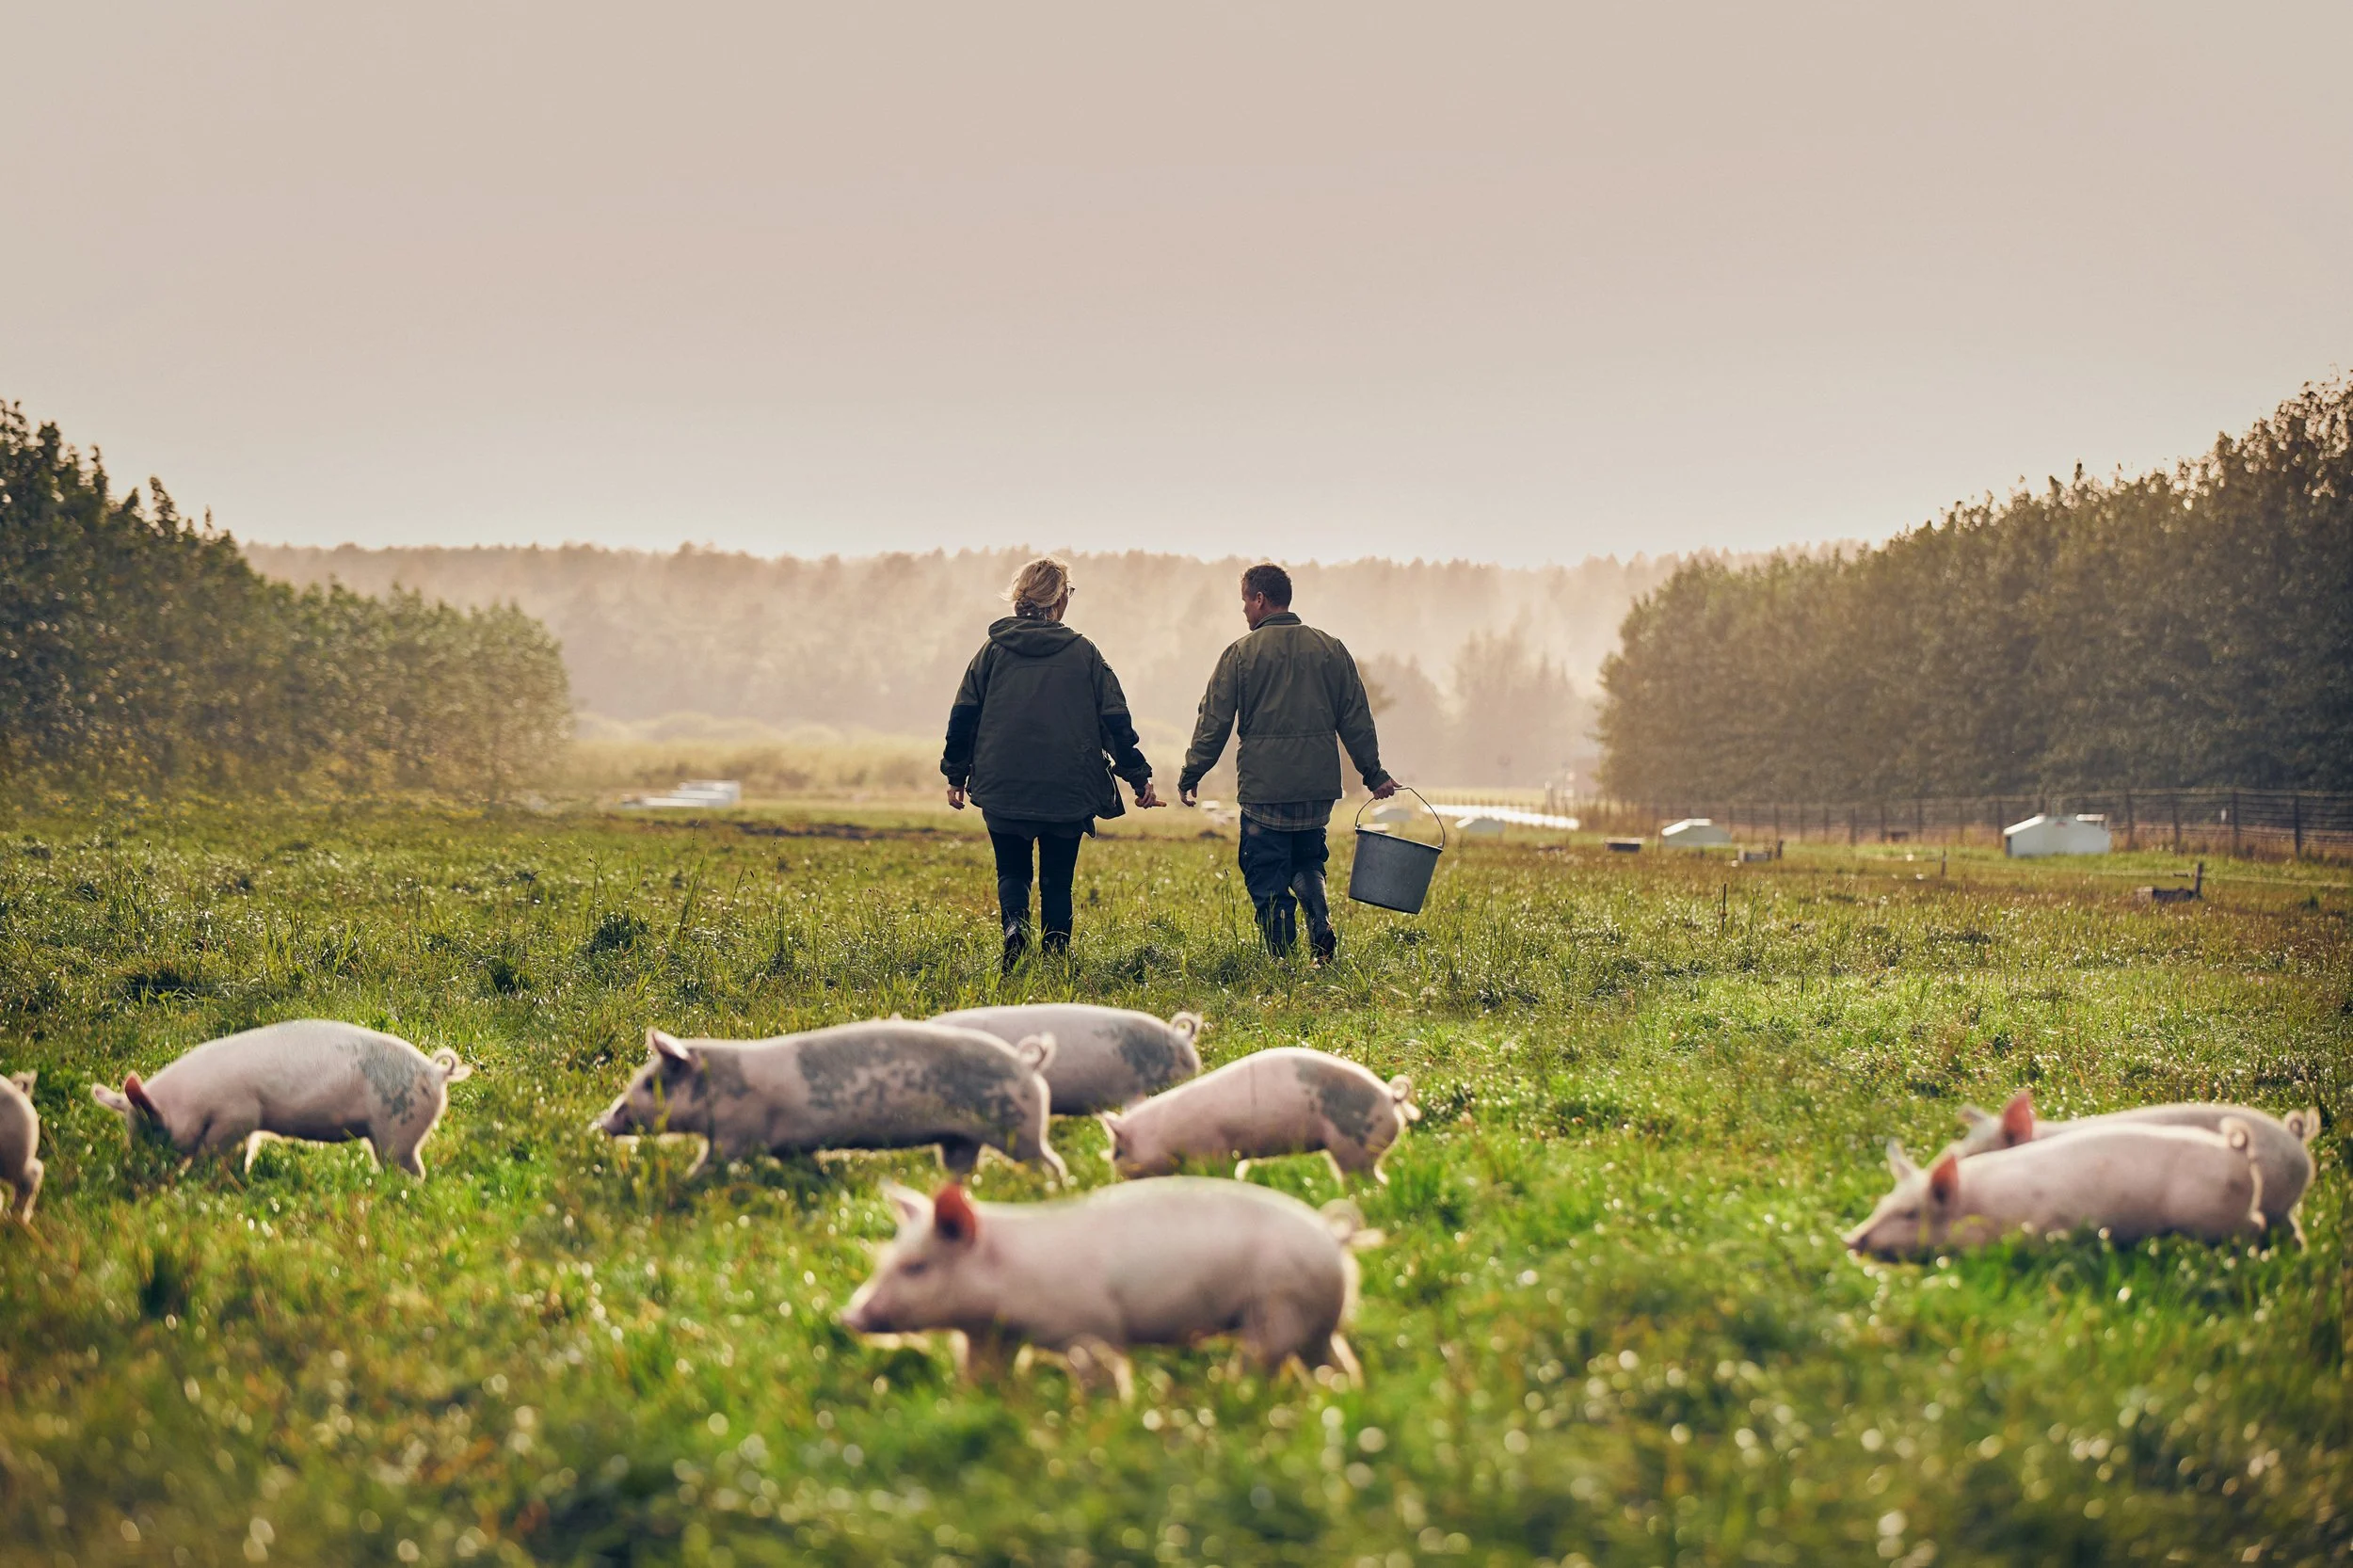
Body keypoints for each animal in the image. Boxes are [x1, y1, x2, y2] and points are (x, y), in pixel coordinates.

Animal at [89, 1019, 473, 1177]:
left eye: (152, 1128)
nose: (136, 1171)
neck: (191, 1102)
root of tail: (435, 1072)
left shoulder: (238, 1114)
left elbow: (210, 1151)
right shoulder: (244, 1125)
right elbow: (240, 1155)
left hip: (399, 1127)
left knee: (413, 1170)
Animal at [592, 1021, 1065, 1178]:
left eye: (649, 1083)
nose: (602, 1121)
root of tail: (1028, 1063)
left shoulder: (735, 1133)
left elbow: (711, 1162)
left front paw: (686, 1181)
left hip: (1019, 1129)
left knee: (1050, 1161)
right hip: (959, 1141)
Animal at [840, 1176, 1377, 1391]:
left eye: (916, 1267)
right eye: (887, 1259)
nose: (848, 1316)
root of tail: (1333, 1236)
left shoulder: (1090, 1329)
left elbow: (1102, 1376)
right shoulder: (989, 1336)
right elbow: (982, 1373)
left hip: (1280, 1308)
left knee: (1265, 1361)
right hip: (1314, 1322)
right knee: (1333, 1364)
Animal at [1099, 1046, 1420, 1182]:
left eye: (1117, 1152)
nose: (1116, 1179)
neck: (1164, 1133)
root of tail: (1391, 1096)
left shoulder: (1212, 1150)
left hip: (1354, 1146)